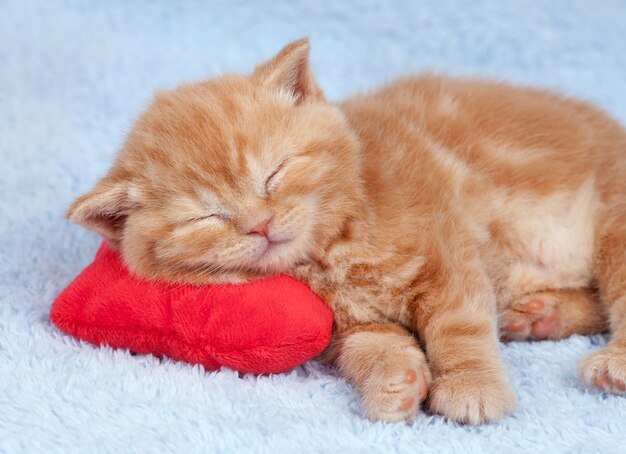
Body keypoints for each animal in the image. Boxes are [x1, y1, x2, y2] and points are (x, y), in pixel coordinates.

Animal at [67, 40, 624, 426]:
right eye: (205, 217)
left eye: (275, 172)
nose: (259, 223)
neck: (333, 249)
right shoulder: (347, 326)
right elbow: (373, 347)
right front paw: (395, 382)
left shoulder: (449, 255)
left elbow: (459, 327)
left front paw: (471, 389)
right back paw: (539, 315)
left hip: (613, 227)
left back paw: (609, 363)